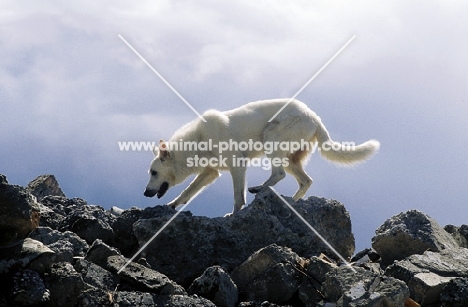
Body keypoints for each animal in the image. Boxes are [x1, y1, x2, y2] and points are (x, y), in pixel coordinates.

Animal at [144, 98, 380, 214]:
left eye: (154, 172)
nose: (145, 193)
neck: (198, 141)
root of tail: (314, 116)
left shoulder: (237, 166)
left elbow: (238, 197)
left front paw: (233, 215)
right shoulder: (210, 173)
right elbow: (187, 192)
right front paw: (171, 206)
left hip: (271, 140)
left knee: (279, 175)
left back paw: (260, 189)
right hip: (289, 158)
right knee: (305, 181)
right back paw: (292, 201)